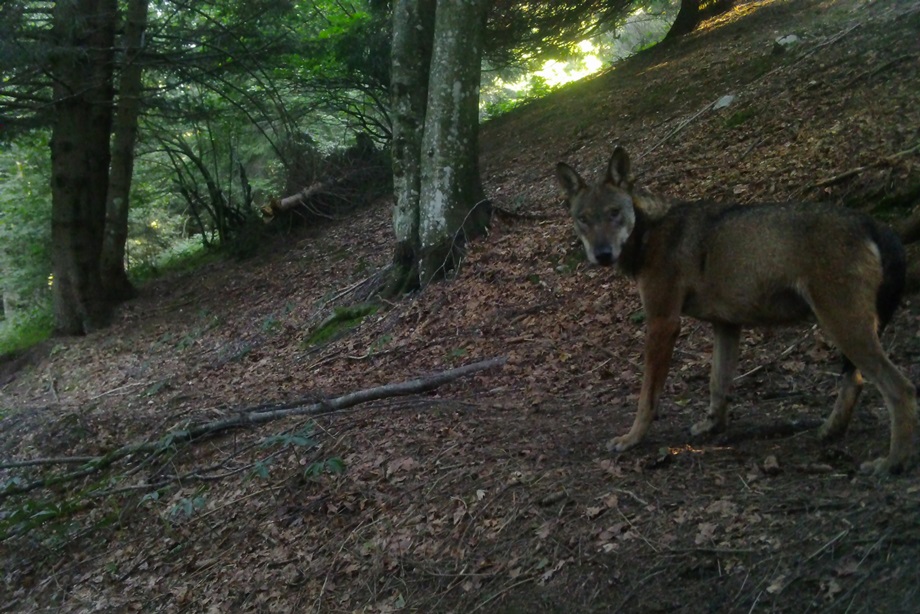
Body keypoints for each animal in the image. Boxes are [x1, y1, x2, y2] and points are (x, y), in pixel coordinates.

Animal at [556, 149, 916, 476]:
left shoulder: (662, 324)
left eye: (614, 213)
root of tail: (873, 222)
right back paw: (829, 431)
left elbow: (648, 396)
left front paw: (631, 439)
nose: (602, 254)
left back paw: (891, 463)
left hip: (842, 326)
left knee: (900, 389)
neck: (649, 232)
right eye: (583, 219)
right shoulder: (726, 325)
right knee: (855, 381)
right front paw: (712, 427)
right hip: (846, 330)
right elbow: (718, 383)